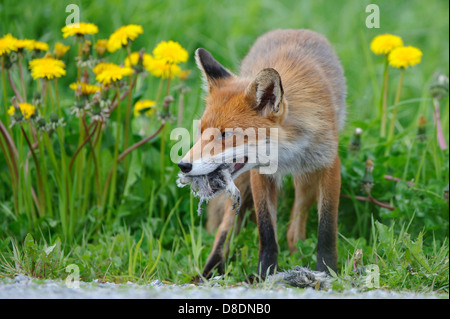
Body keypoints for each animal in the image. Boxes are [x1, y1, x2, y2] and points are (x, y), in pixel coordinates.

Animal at [178, 30, 346, 280]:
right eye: (201, 131)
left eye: (226, 134)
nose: (183, 165)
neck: (286, 152)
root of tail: (292, 30)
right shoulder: (259, 173)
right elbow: (266, 232)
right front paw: (263, 274)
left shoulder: (329, 164)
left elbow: (326, 228)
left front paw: (326, 270)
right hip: (242, 182)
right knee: (225, 227)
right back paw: (211, 270)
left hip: (306, 177)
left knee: (294, 228)